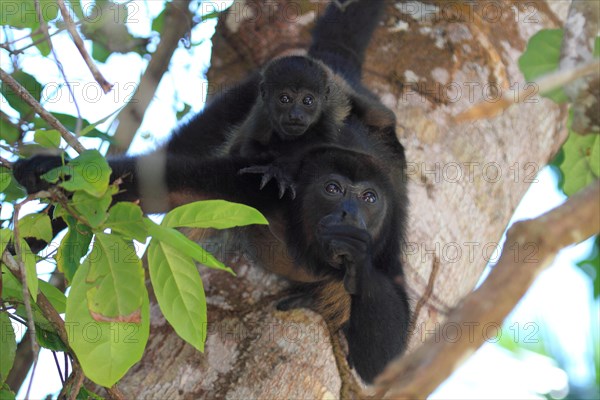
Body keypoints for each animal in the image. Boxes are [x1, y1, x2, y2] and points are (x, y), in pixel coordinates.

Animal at [14, 0, 410, 384]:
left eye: (369, 198)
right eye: (332, 189)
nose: (349, 213)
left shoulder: (387, 238)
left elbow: (383, 361)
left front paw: (355, 253)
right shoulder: (258, 188)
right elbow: (154, 186)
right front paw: (47, 177)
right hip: (244, 94)